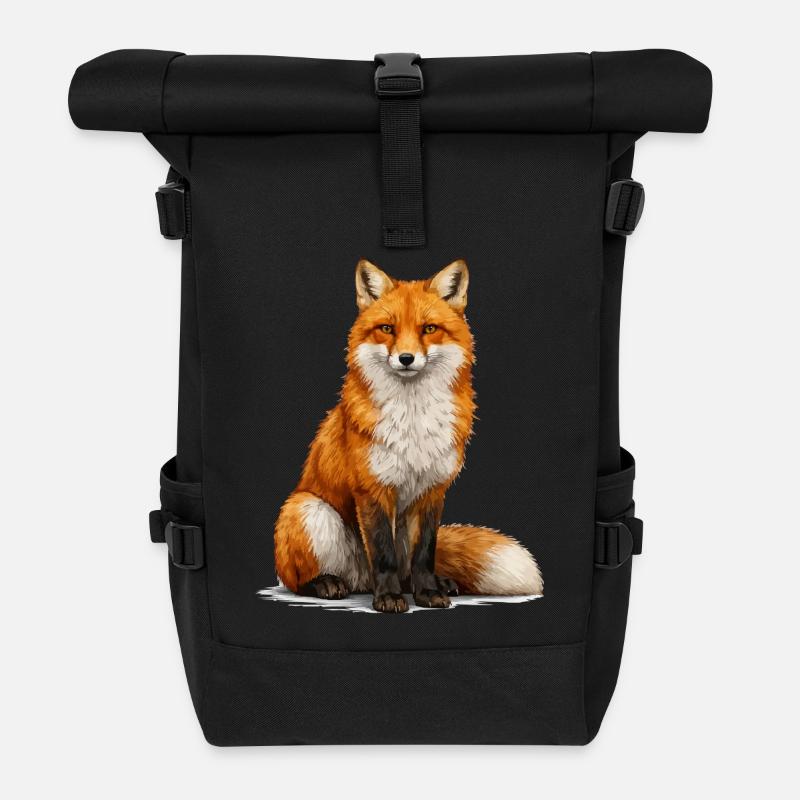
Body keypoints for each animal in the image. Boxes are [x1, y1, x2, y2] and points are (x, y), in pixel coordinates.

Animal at [274, 258, 543, 613]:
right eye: (388, 328)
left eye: (428, 329)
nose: (406, 358)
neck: (413, 419)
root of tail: (360, 581)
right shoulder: (373, 489)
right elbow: (383, 554)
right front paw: (388, 599)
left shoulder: (432, 491)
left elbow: (424, 554)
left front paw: (428, 592)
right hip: (309, 509)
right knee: (298, 579)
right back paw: (326, 583)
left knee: (407, 571)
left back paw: (432, 584)